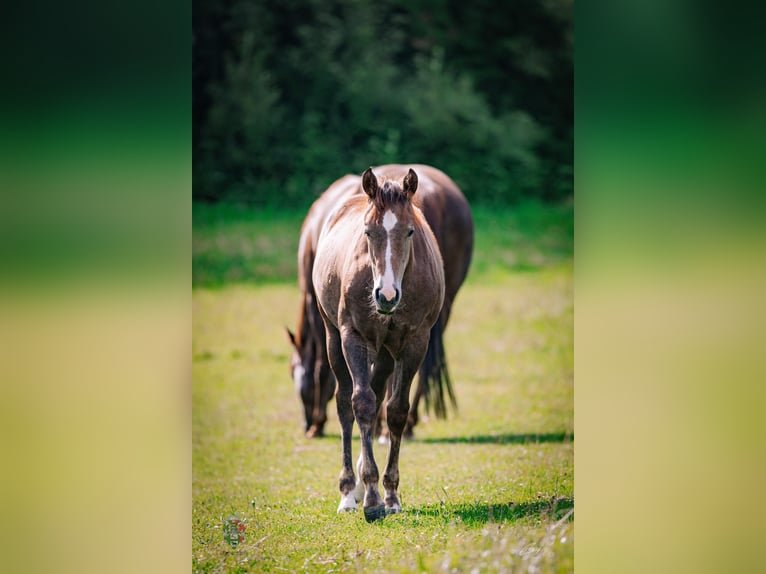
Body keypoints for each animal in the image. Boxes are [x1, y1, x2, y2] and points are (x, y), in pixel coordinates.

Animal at [287, 165, 473, 438]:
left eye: (292, 371)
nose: (306, 423)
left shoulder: (315, 304)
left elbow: (323, 367)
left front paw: (321, 422)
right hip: (445, 308)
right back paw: (404, 424)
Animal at [312, 167, 445, 520]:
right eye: (368, 232)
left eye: (410, 231)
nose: (386, 296)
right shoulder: (353, 338)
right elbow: (361, 404)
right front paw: (371, 497)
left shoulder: (415, 343)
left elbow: (396, 410)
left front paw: (391, 494)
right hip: (333, 338)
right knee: (345, 402)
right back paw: (349, 490)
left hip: (385, 352)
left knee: (378, 392)